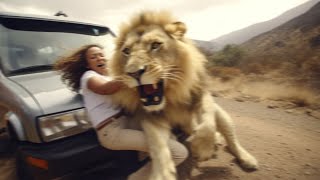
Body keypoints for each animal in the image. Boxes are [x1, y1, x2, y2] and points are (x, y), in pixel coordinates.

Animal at [109, 10, 258, 180]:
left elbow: (208, 121)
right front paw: (162, 174)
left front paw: (203, 148)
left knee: (231, 139)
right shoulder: (149, 116)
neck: (170, 96)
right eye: (126, 51)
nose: (133, 73)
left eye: (155, 45)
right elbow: (157, 143)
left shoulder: (200, 93)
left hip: (222, 116)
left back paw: (246, 158)